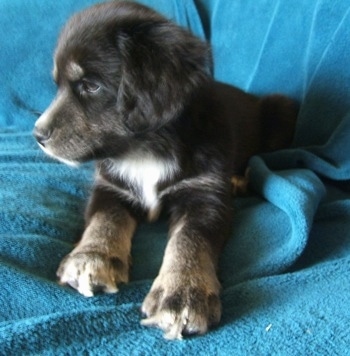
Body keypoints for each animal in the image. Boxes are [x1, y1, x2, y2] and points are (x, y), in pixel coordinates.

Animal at [32, 0, 296, 340]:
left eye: (90, 86)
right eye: (59, 85)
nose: (38, 136)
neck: (145, 149)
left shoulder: (205, 195)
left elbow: (190, 240)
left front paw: (182, 292)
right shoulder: (110, 187)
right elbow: (104, 219)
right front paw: (91, 257)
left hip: (283, 110)